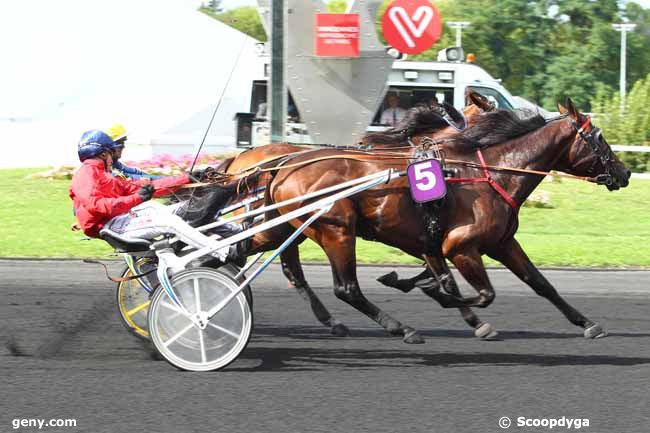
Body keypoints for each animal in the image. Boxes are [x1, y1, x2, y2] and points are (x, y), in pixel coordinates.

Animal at [243, 98, 628, 344]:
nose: (623, 172)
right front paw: (442, 299)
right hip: (337, 231)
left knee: (263, 257)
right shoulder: (459, 246)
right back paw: (401, 328)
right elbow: (480, 292)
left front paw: (587, 323)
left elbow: (540, 283)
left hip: (285, 227)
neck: (490, 173)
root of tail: (282, 167)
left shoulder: (498, 243)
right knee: (346, 288)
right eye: (599, 138)